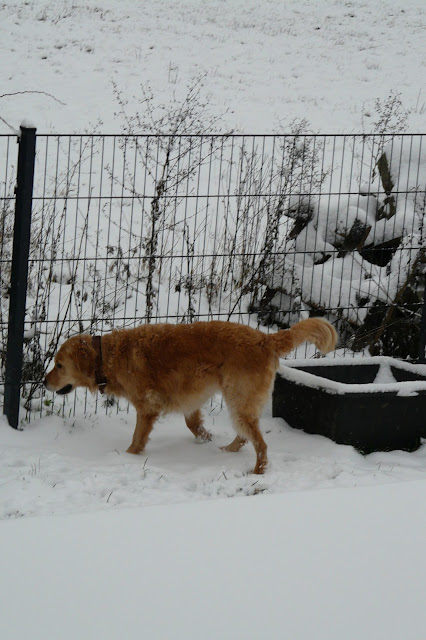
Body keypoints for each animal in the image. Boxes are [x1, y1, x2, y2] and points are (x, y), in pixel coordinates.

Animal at [43, 318, 336, 472]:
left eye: (58, 365)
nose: (44, 382)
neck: (109, 356)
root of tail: (265, 339)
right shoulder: (189, 401)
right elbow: (193, 424)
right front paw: (205, 438)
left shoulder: (147, 407)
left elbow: (137, 440)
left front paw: (126, 459)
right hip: (239, 402)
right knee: (246, 437)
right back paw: (226, 451)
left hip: (239, 400)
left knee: (261, 445)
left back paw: (257, 472)